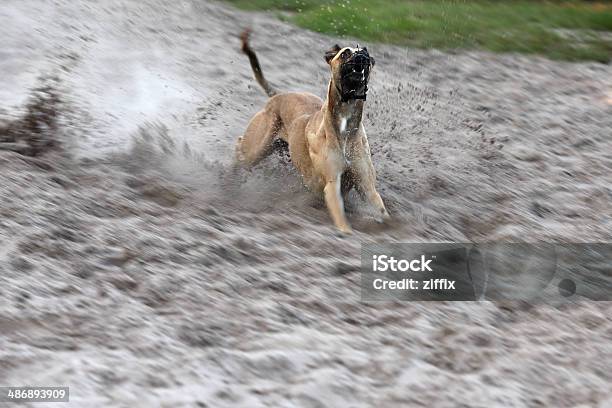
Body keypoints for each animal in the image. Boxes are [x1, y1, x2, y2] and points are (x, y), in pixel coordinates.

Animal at [234, 30, 388, 234]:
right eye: (345, 53)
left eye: (366, 52)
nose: (361, 57)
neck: (346, 128)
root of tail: (279, 95)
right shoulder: (332, 184)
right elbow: (341, 220)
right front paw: (346, 232)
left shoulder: (367, 187)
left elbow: (381, 211)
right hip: (257, 148)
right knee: (239, 147)